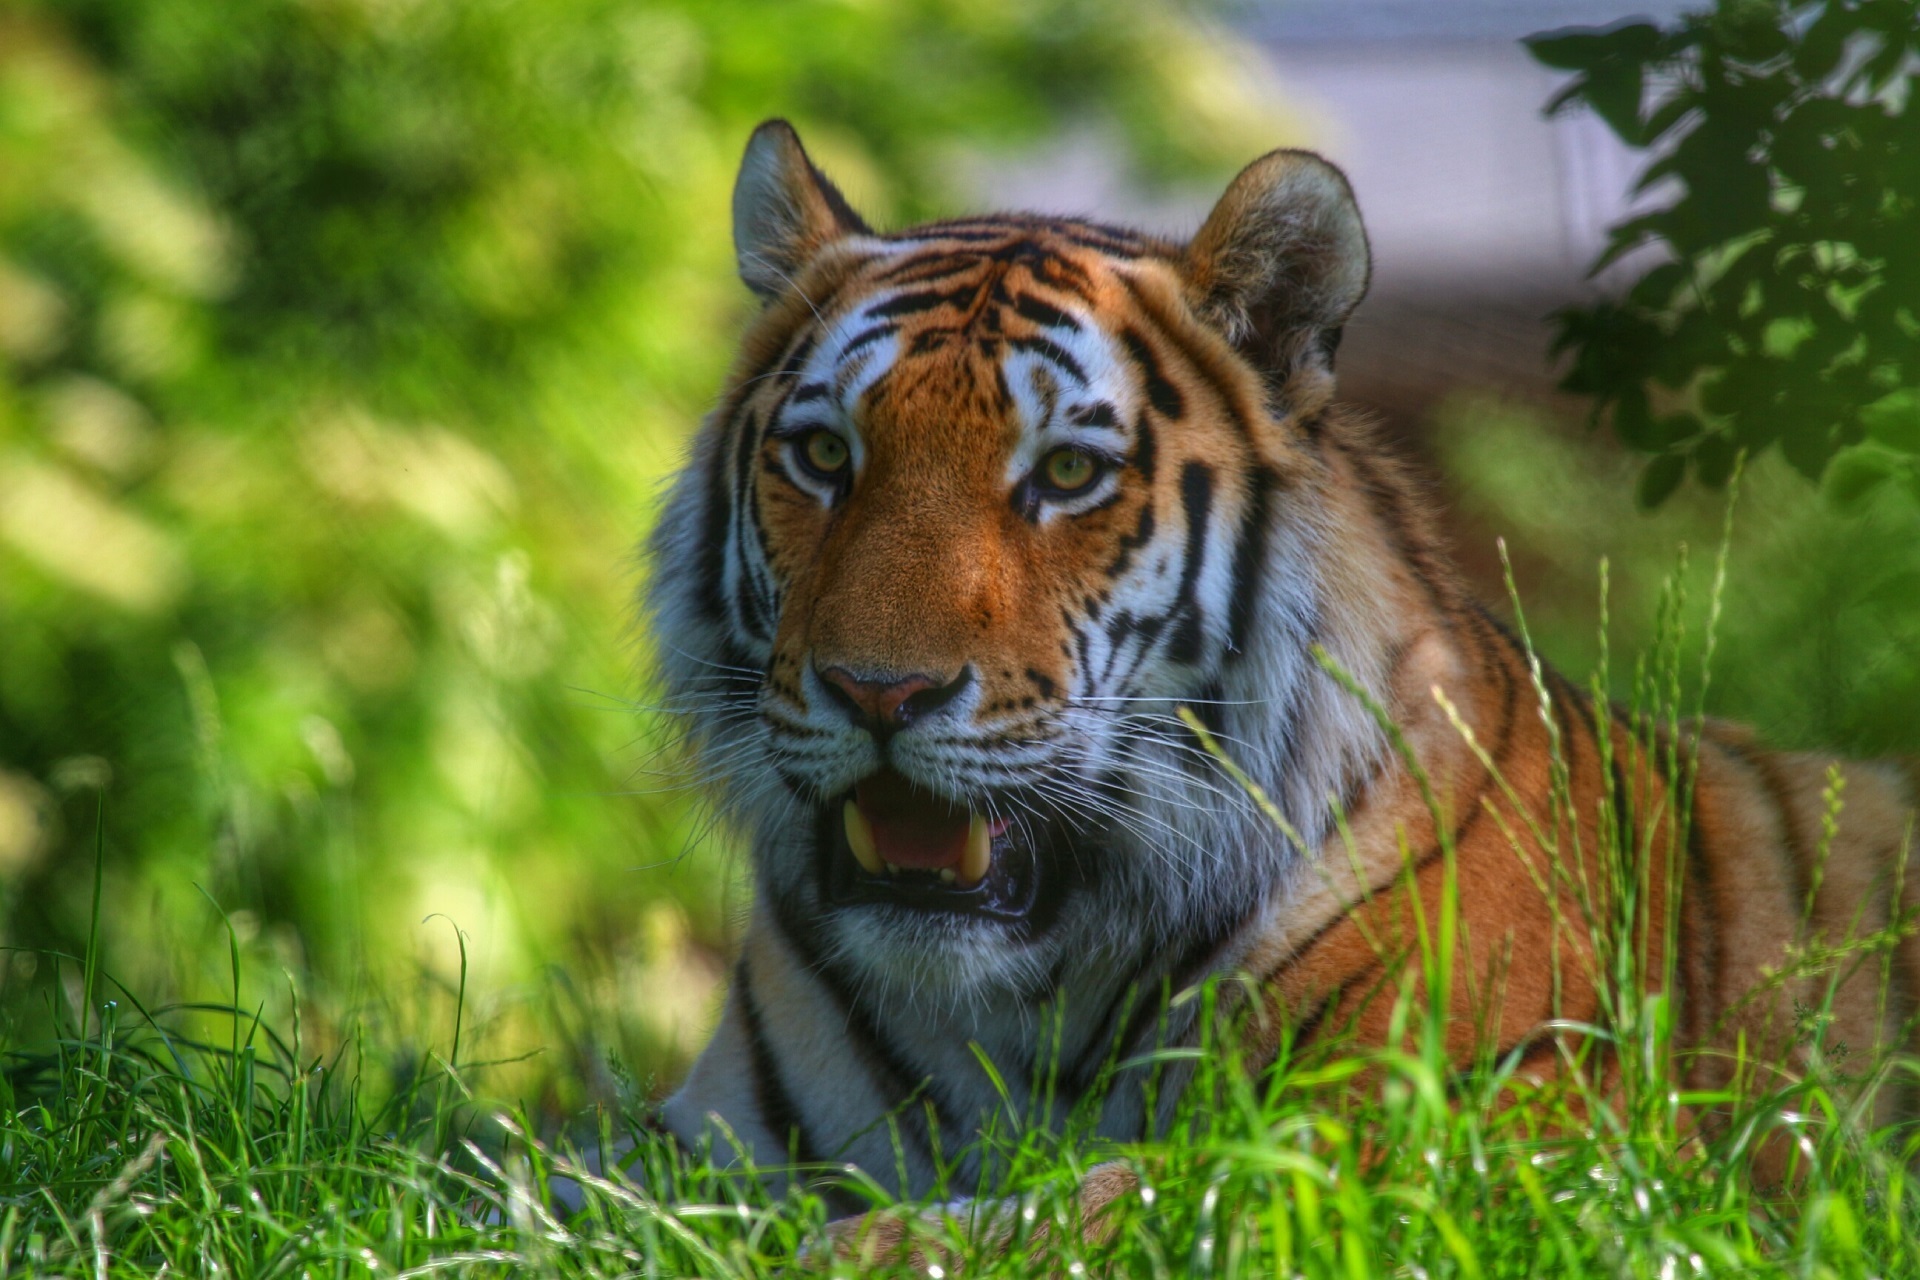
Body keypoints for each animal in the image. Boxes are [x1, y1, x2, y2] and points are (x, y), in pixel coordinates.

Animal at [648, 119, 1920, 1251]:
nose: (879, 692)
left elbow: (1132, 1193)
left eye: (1066, 471)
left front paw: (860, 1246)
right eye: (826, 456)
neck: (1020, 1007)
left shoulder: (1500, 1129)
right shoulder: (703, 1138)